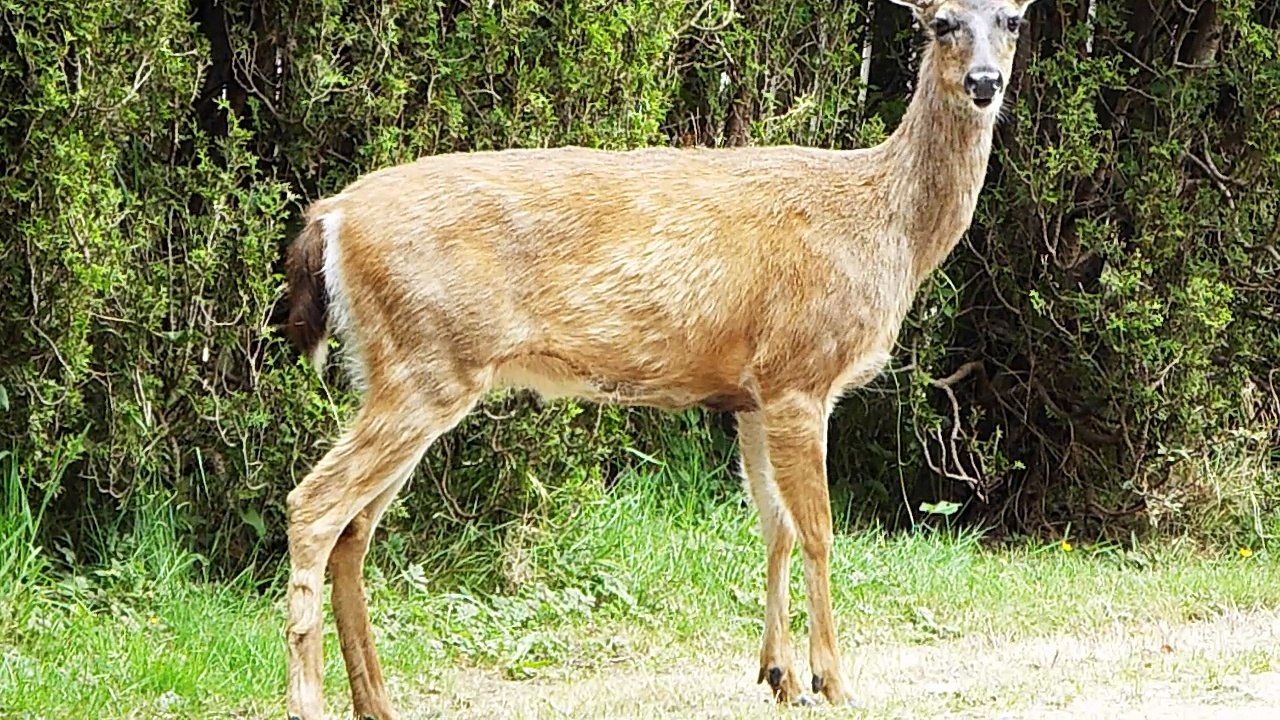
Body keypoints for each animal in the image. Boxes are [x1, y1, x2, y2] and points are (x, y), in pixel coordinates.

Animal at [279, 0, 1037, 716]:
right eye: (940, 23)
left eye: (1011, 19)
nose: (983, 82)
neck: (887, 227)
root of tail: (331, 216)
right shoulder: (801, 371)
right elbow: (818, 531)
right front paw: (834, 682)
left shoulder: (753, 393)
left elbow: (775, 528)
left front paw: (780, 677)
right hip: (425, 365)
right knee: (314, 504)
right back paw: (310, 702)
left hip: (398, 369)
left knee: (354, 529)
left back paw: (376, 701)